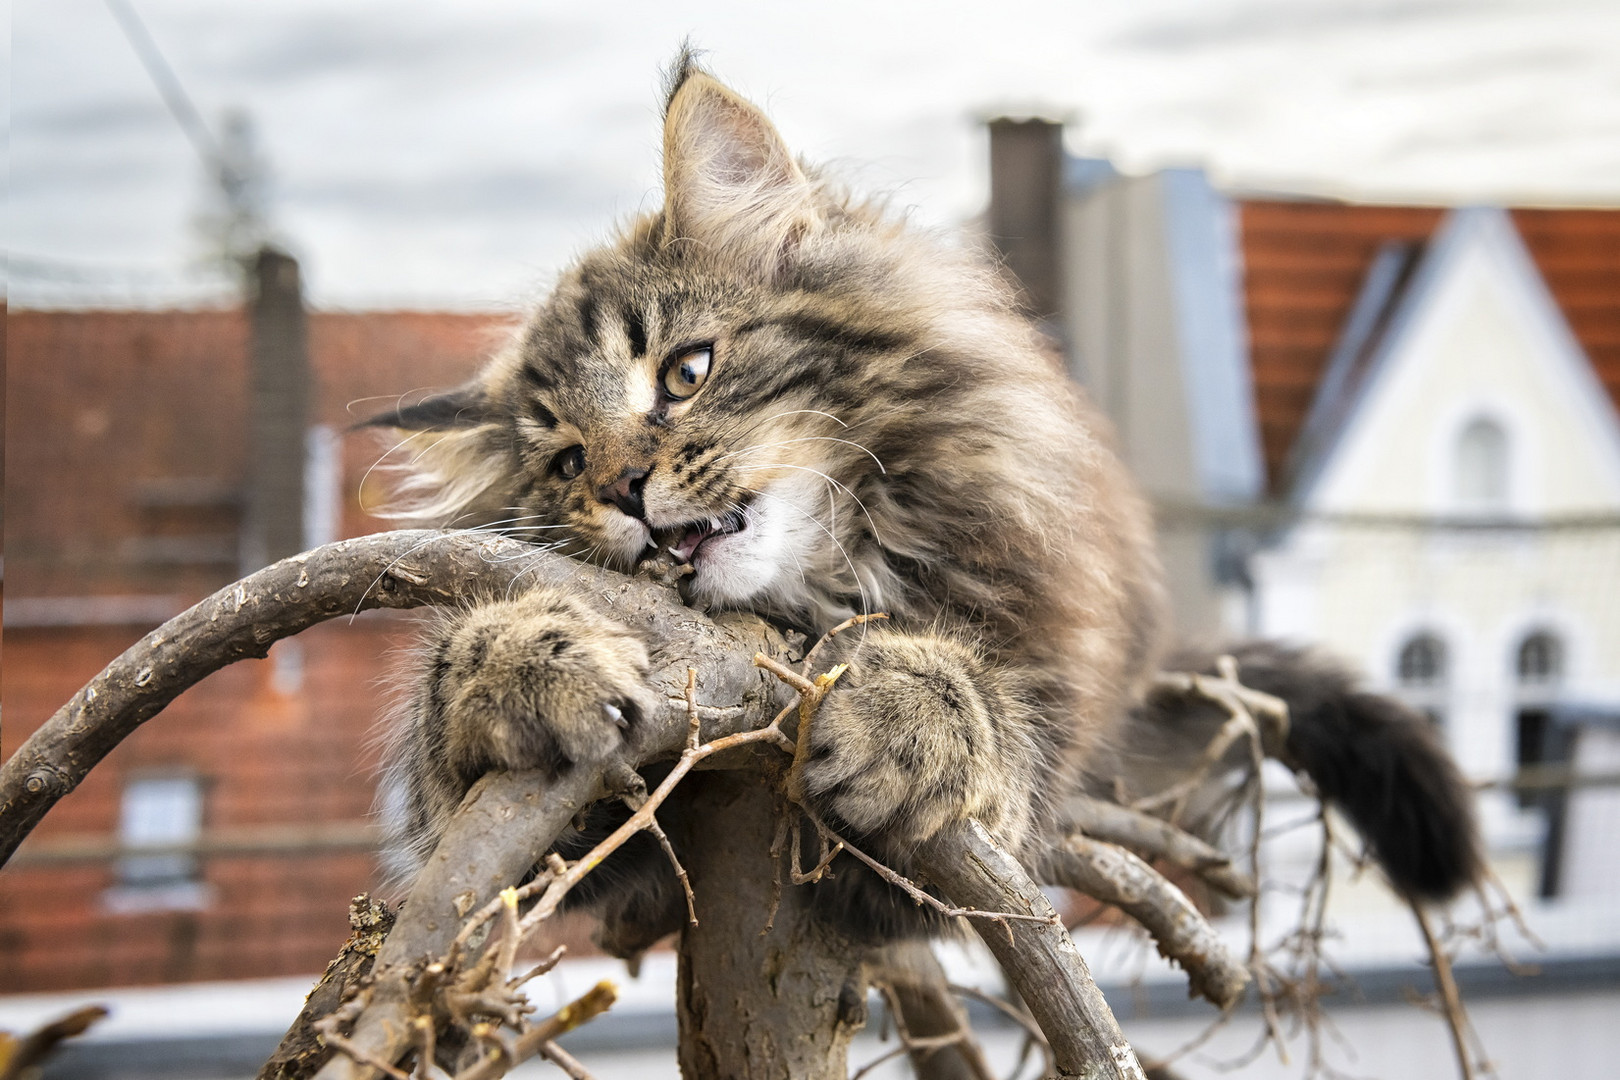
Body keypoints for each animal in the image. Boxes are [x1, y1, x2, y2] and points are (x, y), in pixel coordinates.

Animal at [370, 52, 1483, 945]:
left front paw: (910, 709)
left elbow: (987, 702)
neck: (823, 584)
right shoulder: (567, 838)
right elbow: (455, 740)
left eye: (686, 373)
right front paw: (519, 657)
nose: (624, 489)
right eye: (564, 465)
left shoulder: (1001, 782)